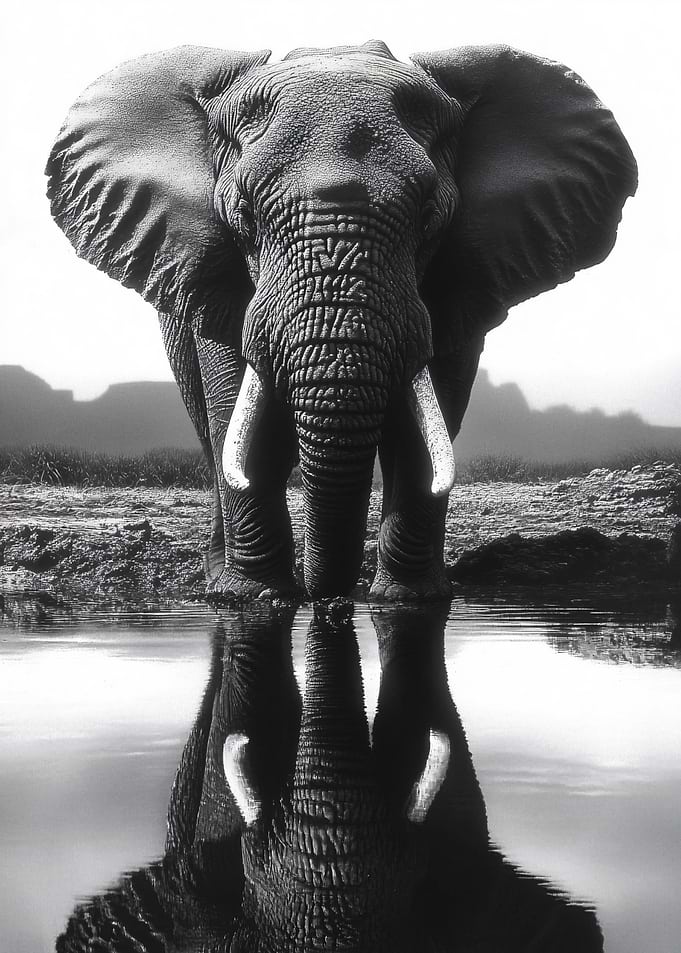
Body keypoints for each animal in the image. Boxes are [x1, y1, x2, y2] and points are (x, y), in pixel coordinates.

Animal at [46, 40, 637, 601]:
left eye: (429, 216)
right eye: (243, 216)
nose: (330, 597)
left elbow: (424, 425)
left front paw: (409, 600)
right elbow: (245, 423)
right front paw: (257, 599)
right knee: (214, 440)